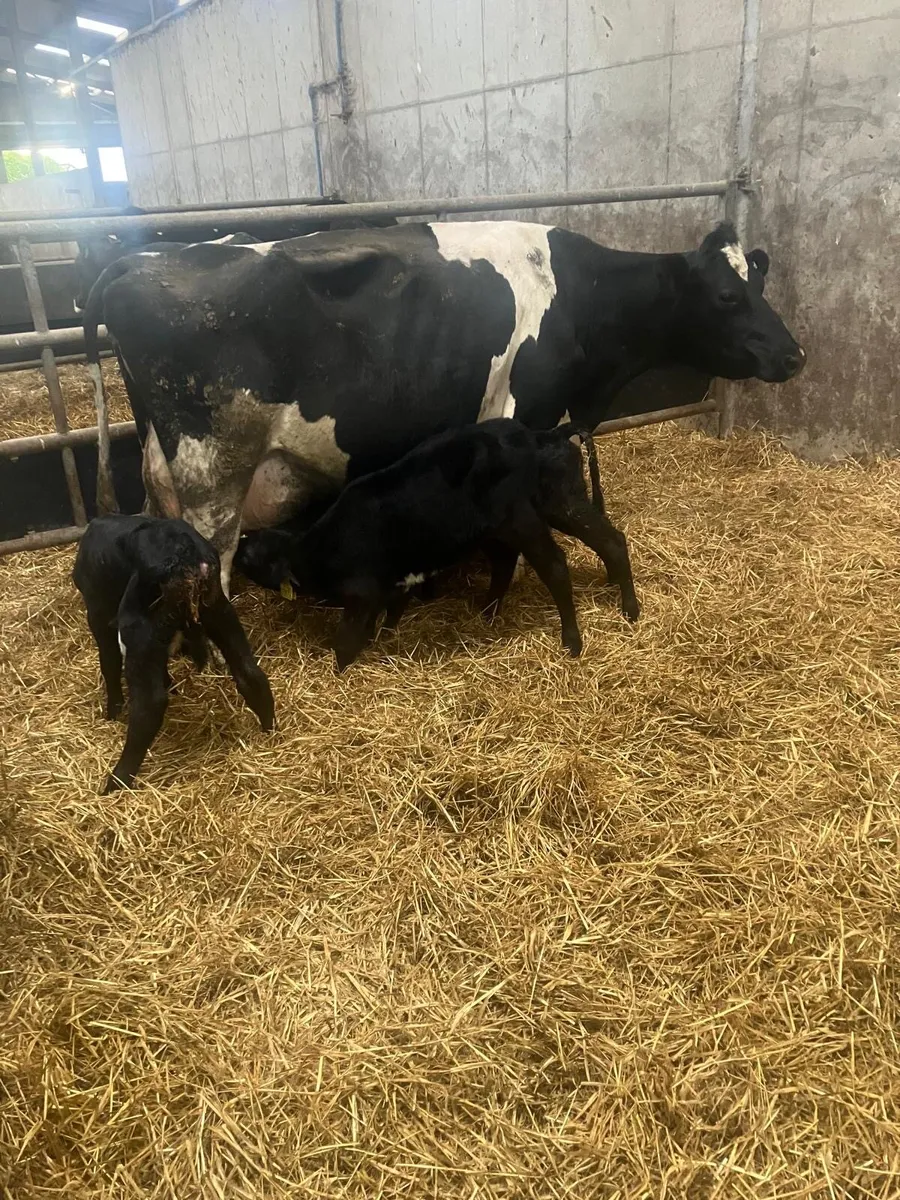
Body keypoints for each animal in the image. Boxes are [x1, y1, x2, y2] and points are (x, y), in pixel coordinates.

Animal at [73, 514, 275, 793]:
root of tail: (185, 555)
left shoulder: (99, 614)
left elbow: (109, 662)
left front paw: (112, 713)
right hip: (217, 608)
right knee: (250, 673)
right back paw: (270, 731)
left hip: (139, 624)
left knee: (149, 704)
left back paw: (116, 782)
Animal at [83, 219, 805, 594]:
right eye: (727, 297)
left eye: (760, 283)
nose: (795, 355)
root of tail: (138, 261)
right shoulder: (525, 417)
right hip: (214, 472)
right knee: (217, 565)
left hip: (166, 467)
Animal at [231, 418, 639, 670]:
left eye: (252, 556)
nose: (233, 553)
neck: (321, 549)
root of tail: (540, 435)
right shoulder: (396, 582)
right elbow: (390, 613)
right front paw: (385, 636)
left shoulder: (361, 592)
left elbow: (345, 641)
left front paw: (342, 669)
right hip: (557, 505)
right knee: (606, 541)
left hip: (524, 519)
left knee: (556, 565)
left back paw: (575, 637)